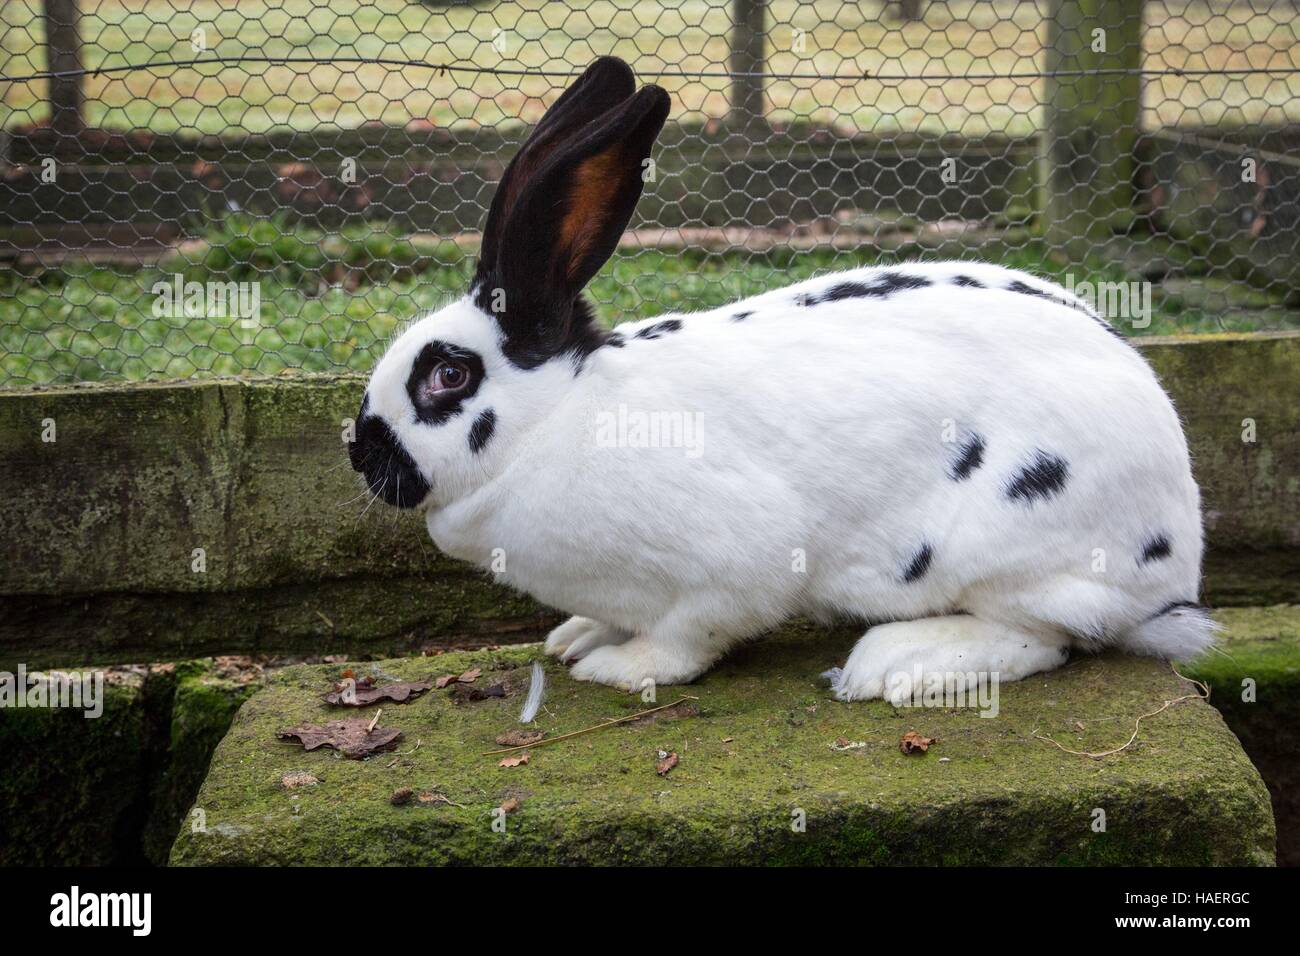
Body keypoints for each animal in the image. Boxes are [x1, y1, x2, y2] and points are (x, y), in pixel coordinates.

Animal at [351, 57, 1211, 702]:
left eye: (448, 376)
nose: (359, 452)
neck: (556, 417)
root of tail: (1179, 558)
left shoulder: (735, 564)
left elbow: (689, 635)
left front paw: (619, 666)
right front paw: (580, 635)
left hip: (1012, 553)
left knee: (1044, 637)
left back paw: (897, 664)